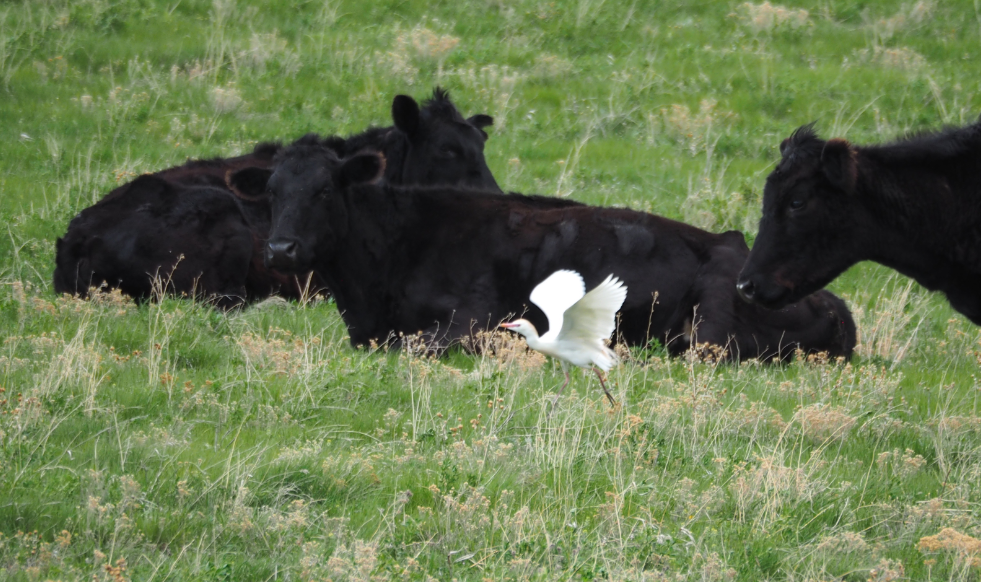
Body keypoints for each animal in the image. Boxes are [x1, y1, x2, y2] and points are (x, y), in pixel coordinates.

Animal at [249, 141, 852, 360]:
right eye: (272, 191)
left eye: (324, 190)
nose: (280, 248)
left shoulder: (474, 317)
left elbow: (417, 344)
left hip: (715, 316)